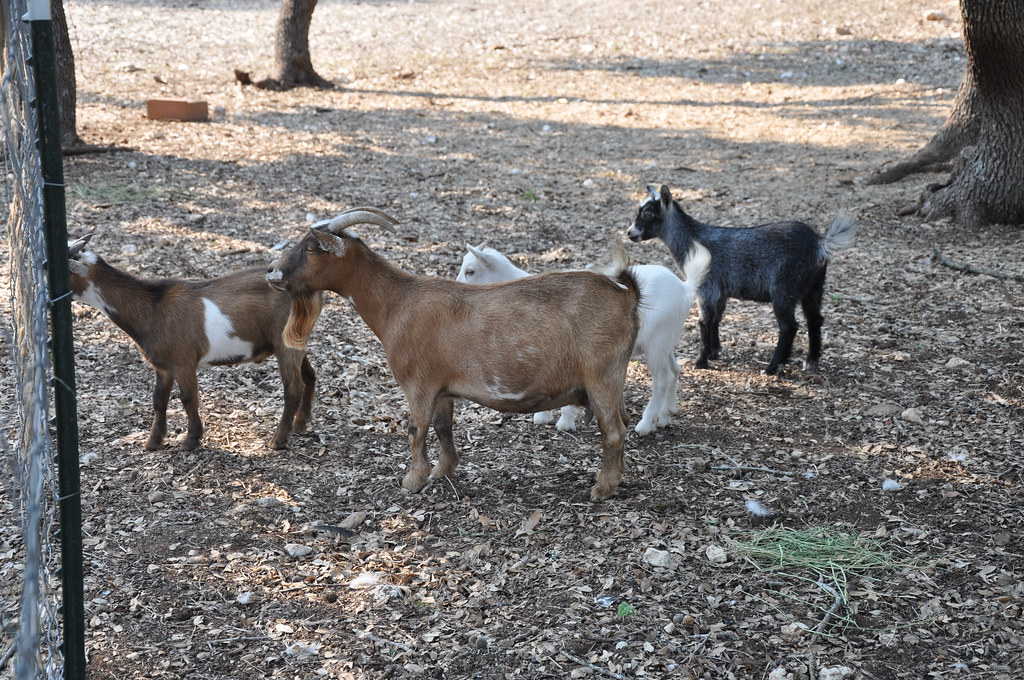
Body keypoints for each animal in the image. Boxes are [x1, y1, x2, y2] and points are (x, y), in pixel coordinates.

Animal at [68, 234, 319, 451]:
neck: (153, 308)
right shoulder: (163, 366)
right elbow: (159, 400)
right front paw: (153, 443)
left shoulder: (183, 361)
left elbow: (189, 399)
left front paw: (191, 441)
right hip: (295, 339)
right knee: (310, 375)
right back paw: (301, 424)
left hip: (284, 344)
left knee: (293, 388)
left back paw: (278, 440)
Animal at [267, 208, 641, 501]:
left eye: (312, 248)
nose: (271, 273)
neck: (397, 303)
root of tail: (626, 294)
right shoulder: (443, 388)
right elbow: (443, 427)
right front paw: (442, 471)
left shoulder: (417, 384)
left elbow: (416, 428)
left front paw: (412, 481)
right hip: (612, 378)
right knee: (622, 422)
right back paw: (616, 477)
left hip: (602, 375)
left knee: (613, 431)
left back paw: (602, 488)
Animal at [456, 242, 709, 435]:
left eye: (470, 271)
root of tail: (684, 287)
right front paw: (543, 415)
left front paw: (564, 422)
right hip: (667, 341)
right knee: (675, 370)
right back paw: (665, 416)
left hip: (656, 344)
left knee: (663, 378)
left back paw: (646, 425)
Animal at [627, 185, 855, 374]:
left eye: (648, 214)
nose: (630, 233)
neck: (693, 239)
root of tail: (819, 244)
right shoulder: (721, 292)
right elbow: (716, 319)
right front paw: (714, 352)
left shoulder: (707, 287)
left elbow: (703, 321)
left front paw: (701, 361)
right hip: (813, 287)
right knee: (814, 319)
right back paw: (811, 361)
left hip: (784, 287)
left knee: (789, 326)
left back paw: (772, 367)